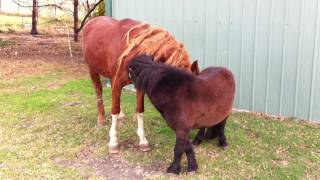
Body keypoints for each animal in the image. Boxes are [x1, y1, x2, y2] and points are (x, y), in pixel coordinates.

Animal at [82, 16, 192, 153]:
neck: (134, 53)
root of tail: (92, 21)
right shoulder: (117, 81)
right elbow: (114, 109)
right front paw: (113, 141)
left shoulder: (139, 85)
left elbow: (140, 110)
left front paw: (143, 140)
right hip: (92, 70)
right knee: (99, 92)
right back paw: (101, 119)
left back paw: (121, 115)